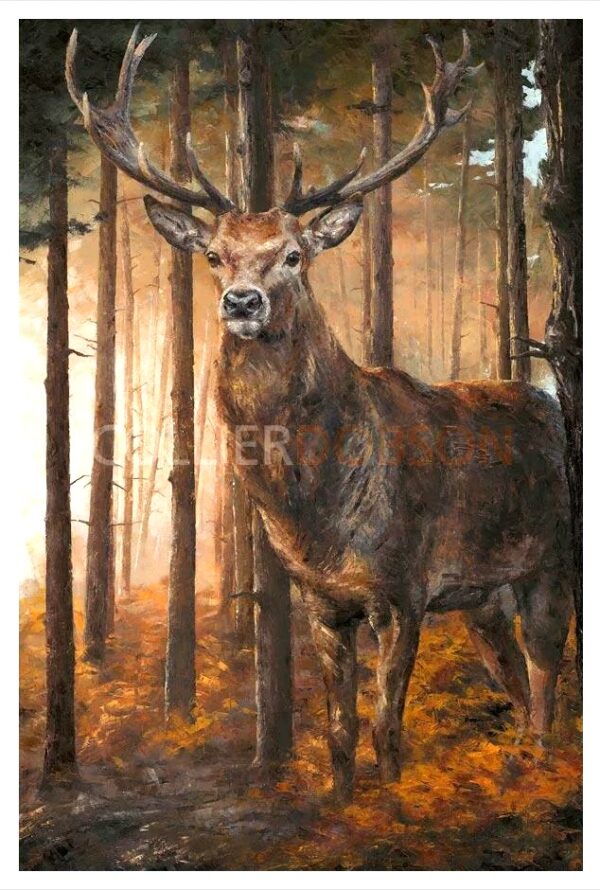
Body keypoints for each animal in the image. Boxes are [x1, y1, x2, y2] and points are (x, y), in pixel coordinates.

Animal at [67, 27, 574, 802]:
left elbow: (386, 727)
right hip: (483, 596)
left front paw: (391, 809)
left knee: (548, 669)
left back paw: (542, 767)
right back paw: (516, 758)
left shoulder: (403, 588)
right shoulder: (321, 601)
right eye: (214, 255)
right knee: (514, 676)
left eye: (294, 256)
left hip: (551, 556)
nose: (242, 302)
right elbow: (339, 732)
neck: (317, 510)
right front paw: (339, 804)